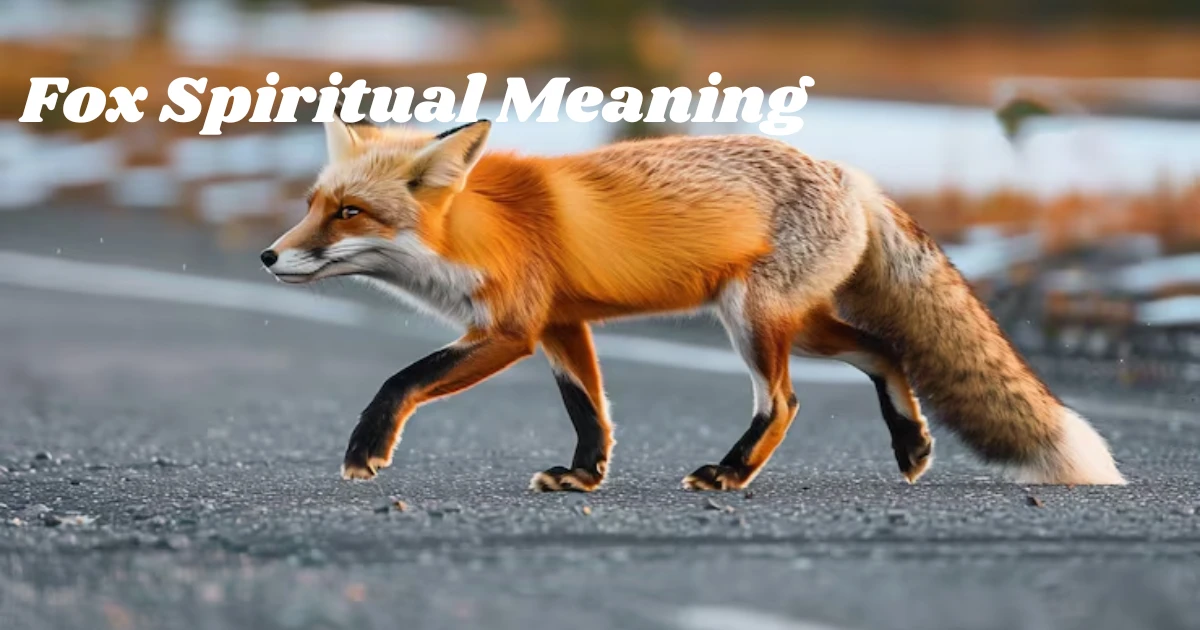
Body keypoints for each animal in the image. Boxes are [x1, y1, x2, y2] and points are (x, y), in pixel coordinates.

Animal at [260, 115, 1126, 492]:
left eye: (349, 214)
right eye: (313, 204)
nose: (268, 255)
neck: (477, 230)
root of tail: (850, 173)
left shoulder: (512, 329)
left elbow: (400, 379)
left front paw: (368, 447)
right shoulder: (563, 325)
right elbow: (590, 411)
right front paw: (584, 477)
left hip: (754, 320)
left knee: (784, 402)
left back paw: (730, 473)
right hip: (798, 321)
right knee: (884, 349)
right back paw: (911, 447)